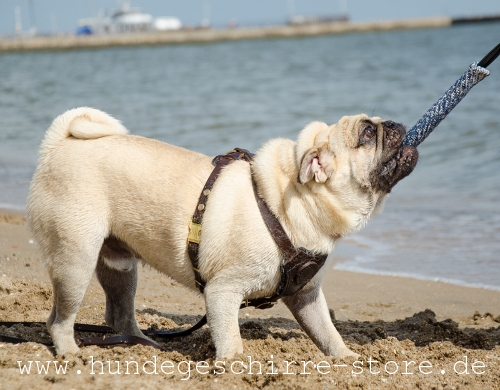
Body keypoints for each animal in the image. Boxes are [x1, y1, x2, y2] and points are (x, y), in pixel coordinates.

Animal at [27, 108, 418, 358]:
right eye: (367, 134)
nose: (393, 123)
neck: (289, 200)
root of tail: (59, 144)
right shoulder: (222, 292)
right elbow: (230, 339)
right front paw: (234, 366)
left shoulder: (305, 296)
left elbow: (327, 333)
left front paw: (347, 360)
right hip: (75, 261)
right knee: (59, 320)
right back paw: (72, 354)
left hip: (120, 266)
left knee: (119, 313)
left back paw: (143, 345)